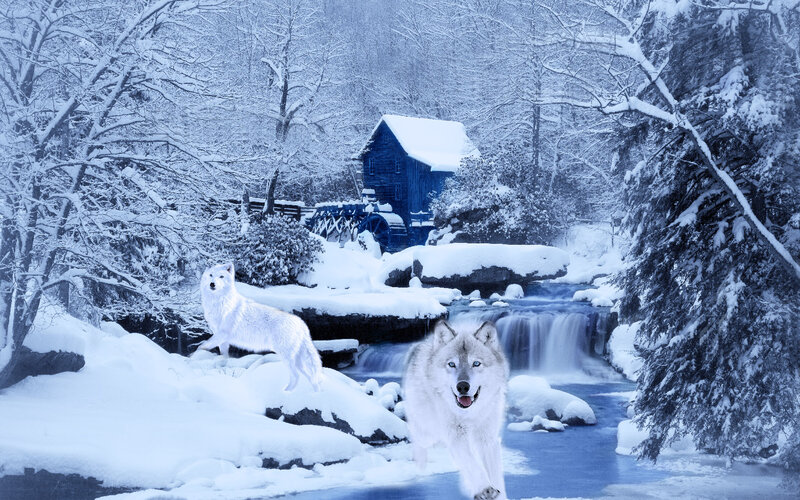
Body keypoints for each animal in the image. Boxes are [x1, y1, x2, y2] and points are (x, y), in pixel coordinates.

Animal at [198, 262, 323, 391]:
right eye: (211, 275)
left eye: (221, 276)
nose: (212, 284)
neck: (220, 303)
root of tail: (301, 323)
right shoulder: (223, 340)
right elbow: (223, 355)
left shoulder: (222, 334)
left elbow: (201, 346)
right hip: (297, 360)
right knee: (311, 378)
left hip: (287, 357)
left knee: (296, 376)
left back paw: (285, 393)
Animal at [404, 320, 509, 500]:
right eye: (452, 364)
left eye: (476, 363)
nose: (462, 386)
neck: (470, 414)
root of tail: (418, 346)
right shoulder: (456, 436)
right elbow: (473, 464)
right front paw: (484, 489)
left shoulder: (487, 438)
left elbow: (494, 475)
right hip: (428, 431)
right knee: (417, 441)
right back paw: (420, 469)